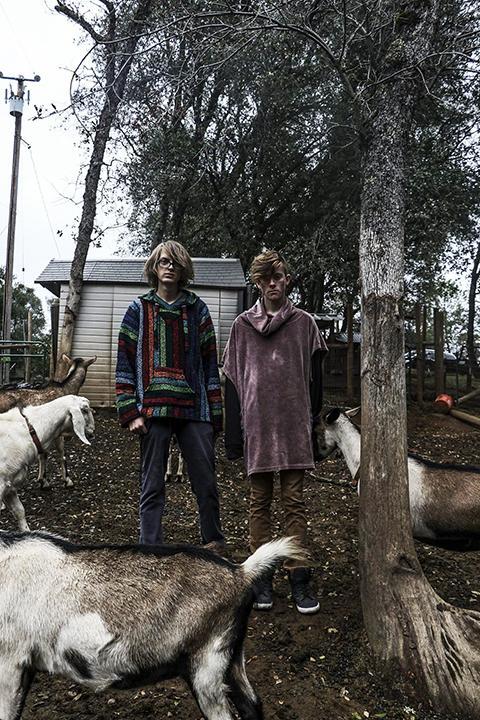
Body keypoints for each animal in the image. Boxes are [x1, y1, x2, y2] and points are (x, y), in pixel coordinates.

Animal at [0, 354, 96, 490]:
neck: (65, 389)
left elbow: (43, 454)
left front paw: (41, 479)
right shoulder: (58, 432)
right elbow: (60, 454)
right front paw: (66, 480)